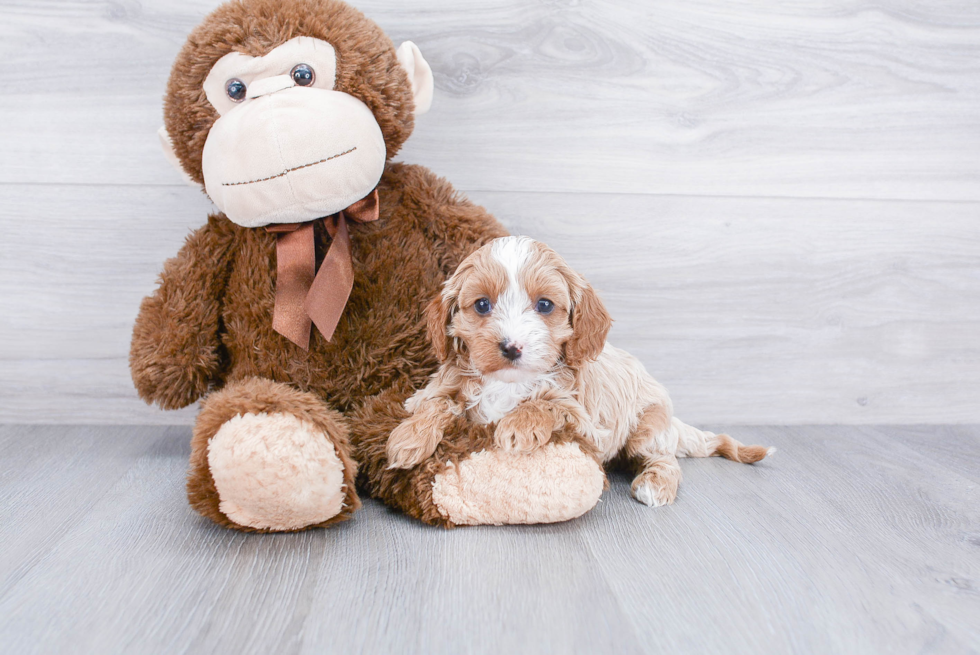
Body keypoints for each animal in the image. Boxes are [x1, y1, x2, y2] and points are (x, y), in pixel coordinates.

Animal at [384, 236, 772, 508]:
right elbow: (436, 402)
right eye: (481, 305)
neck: (509, 384)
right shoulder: (441, 386)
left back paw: (655, 484)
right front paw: (409, 438)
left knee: (664, 459)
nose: (511, 347)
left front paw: (519, 426)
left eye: (544, 305)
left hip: (647, 428)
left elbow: (549, 404)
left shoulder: (587, 422)